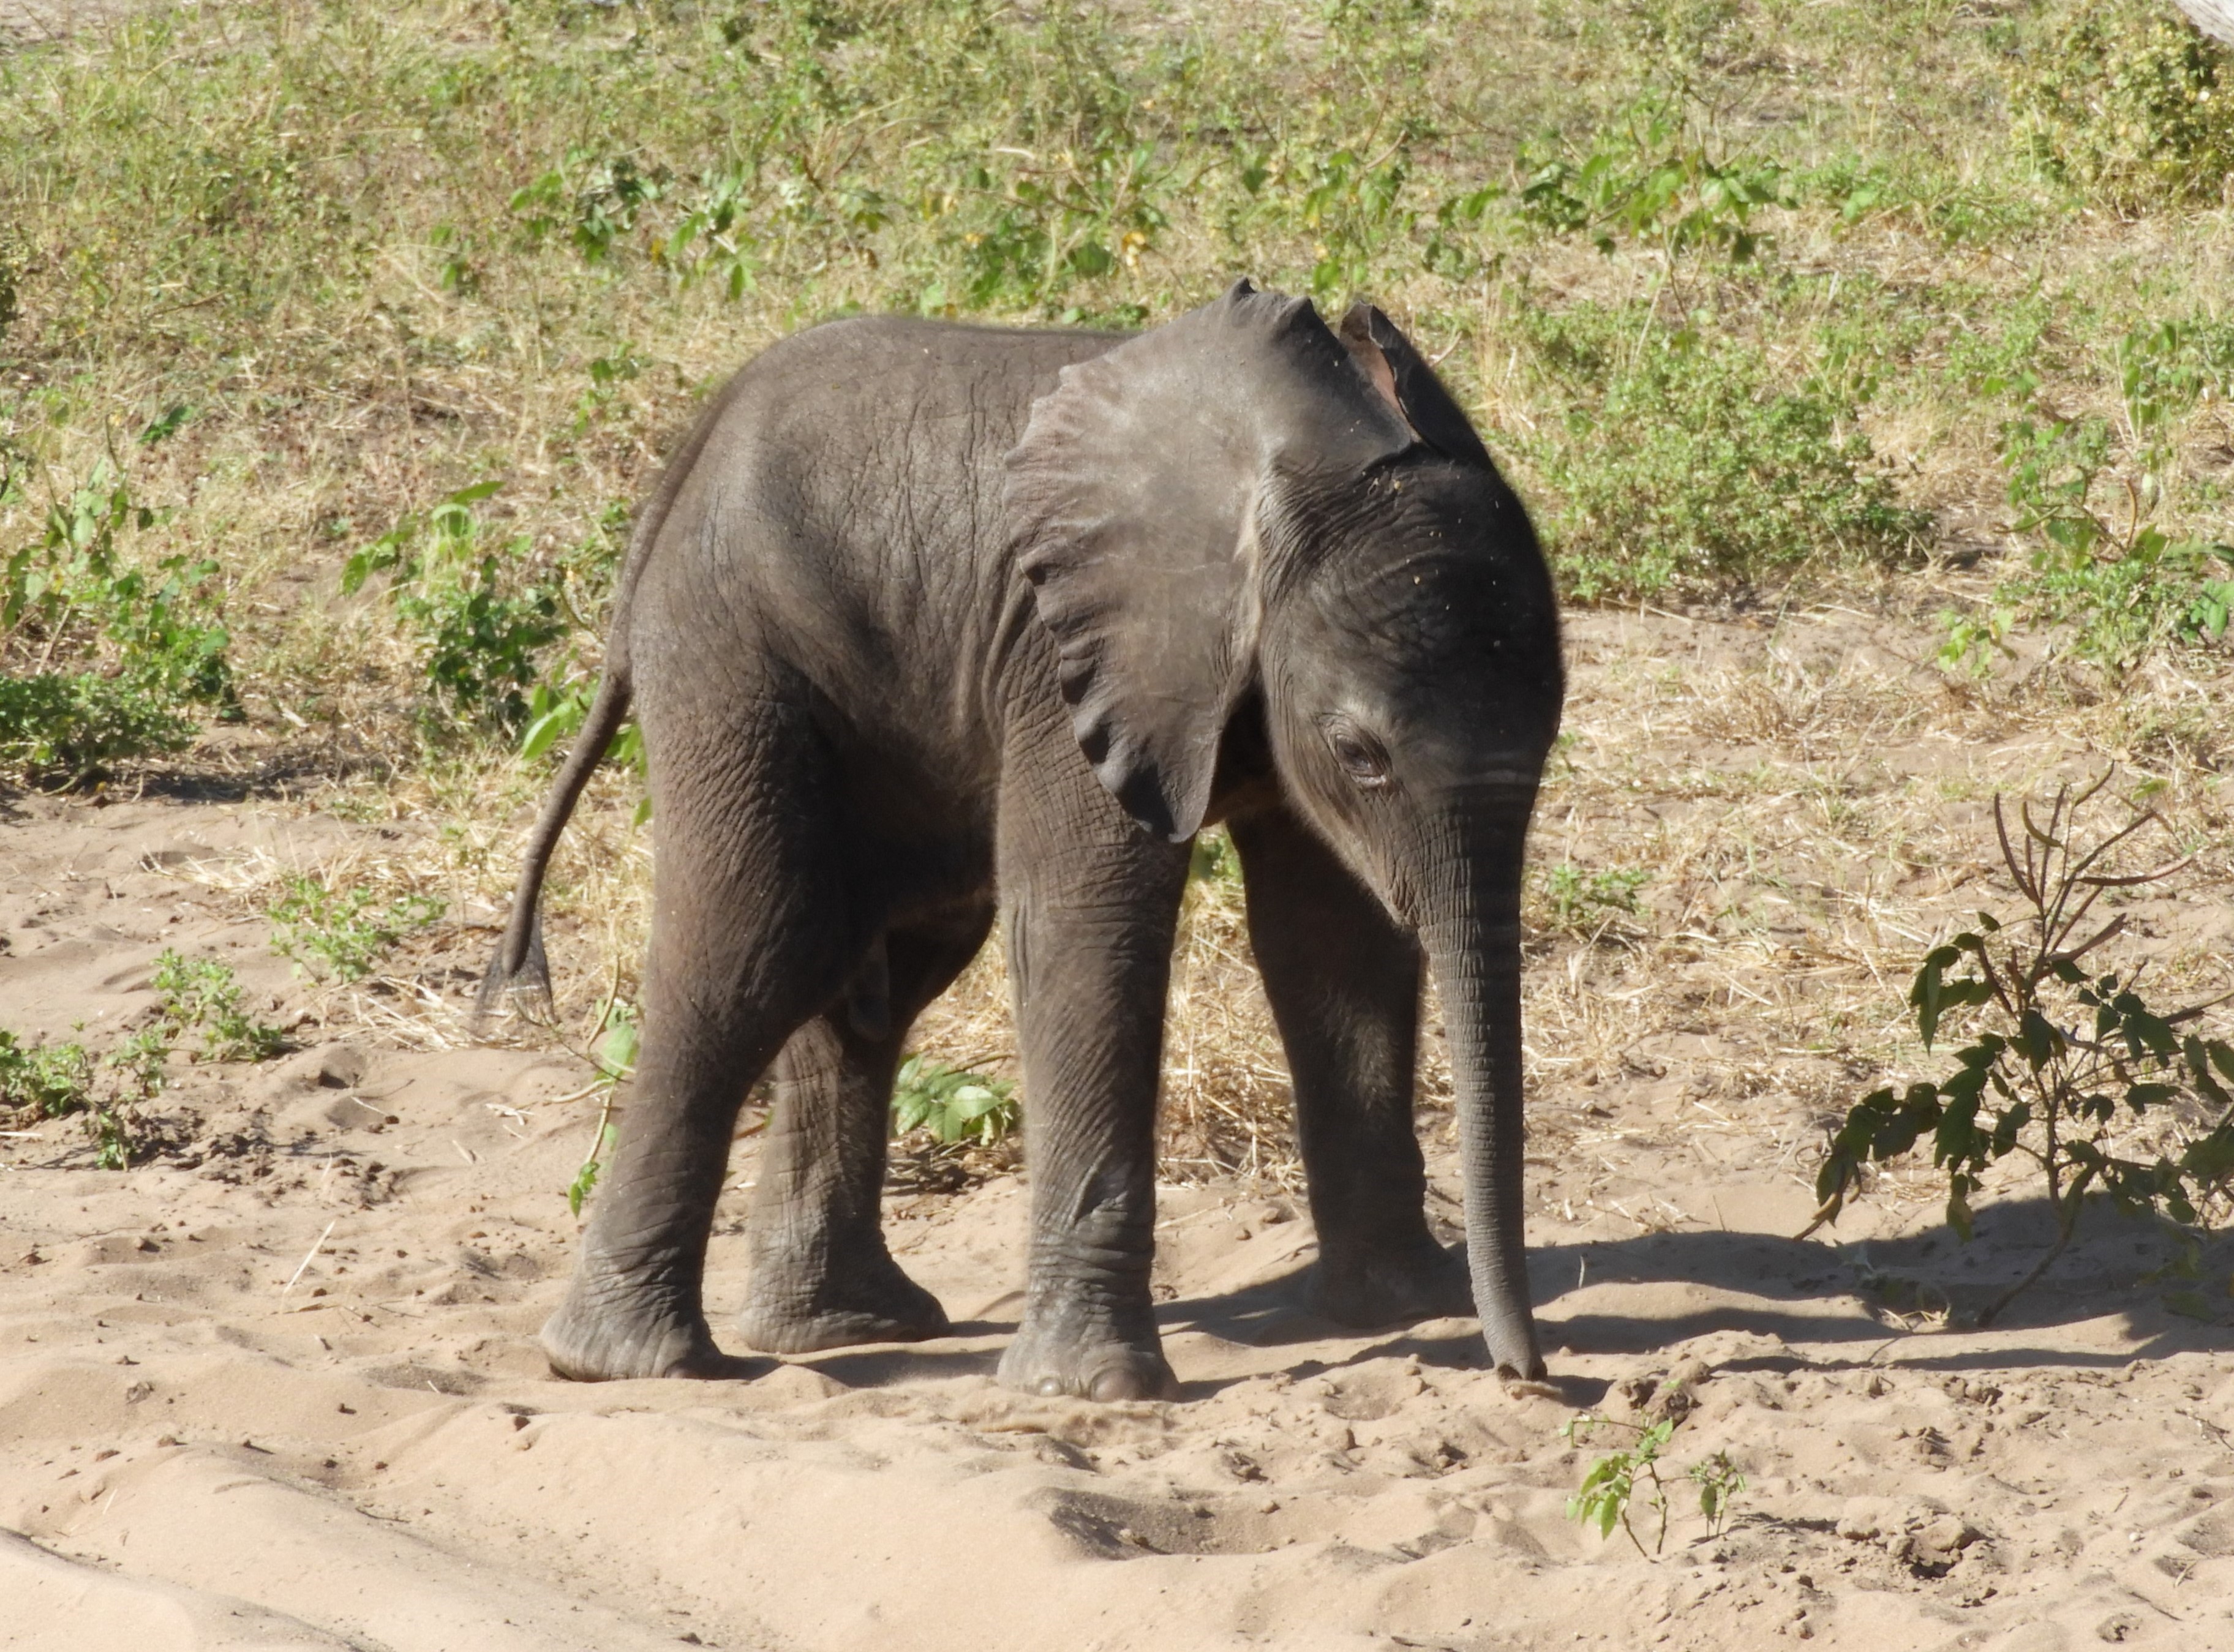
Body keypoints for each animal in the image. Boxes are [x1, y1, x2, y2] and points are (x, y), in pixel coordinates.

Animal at [482, 280, 1564, 1399]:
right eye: (1362, 754)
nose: (1529, 1374)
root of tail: (680, 468)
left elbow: (1334, 939)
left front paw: (1402, 1307)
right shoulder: (1068, 657)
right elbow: (1087, 922)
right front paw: (1092, 1390)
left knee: (866, 975)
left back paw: (843, 1327)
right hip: (733, 649)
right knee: (749, 951)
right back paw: (631, 1362)